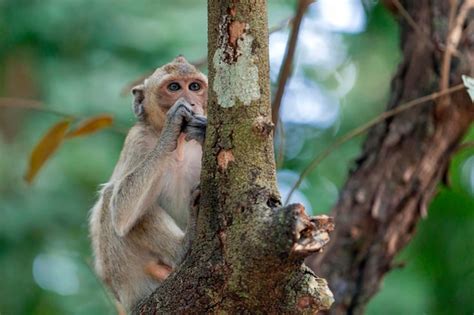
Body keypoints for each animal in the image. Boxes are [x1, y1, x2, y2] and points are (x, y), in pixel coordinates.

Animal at [89, 56, 207, 312]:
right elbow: (120, 211)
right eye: (174, 87)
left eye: (195, 86)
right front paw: (172, 126)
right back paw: (183, 247)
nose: (192, 103)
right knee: (111, 200)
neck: (181, 148)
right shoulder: (138, 141)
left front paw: (202, 130)